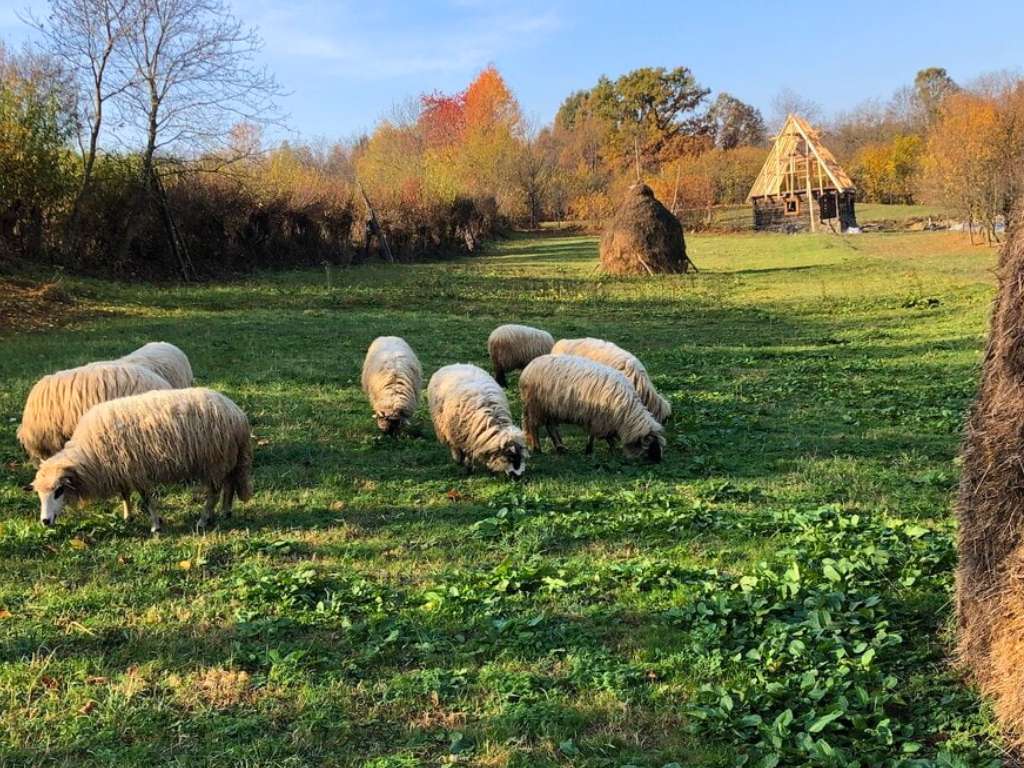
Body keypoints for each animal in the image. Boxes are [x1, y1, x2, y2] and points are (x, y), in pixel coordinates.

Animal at [24, 387, 252, 532]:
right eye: (38, 494)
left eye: (59, 491)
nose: (45, 521)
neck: (90, 452)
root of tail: (237, 414)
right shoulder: (121, 469)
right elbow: (125, 494)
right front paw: (128, 516)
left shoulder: (135, 469)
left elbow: (146, 499)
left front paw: (155, 525)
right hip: (228, 458)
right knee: (230, 484)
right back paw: (226, 511)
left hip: (215, 459)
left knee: (214, 491)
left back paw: (204, 520)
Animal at [516, 356, 667, 462]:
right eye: (651, 444)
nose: (658, 461)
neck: (626, 413)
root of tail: (529, 367)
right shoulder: (599, 418)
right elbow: (601, 436)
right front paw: (607, 449)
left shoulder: (598, 418)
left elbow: (595, 434)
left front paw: (592, 449)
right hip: (535, 406)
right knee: (533, 427)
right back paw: (537, 448)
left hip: (550, 409)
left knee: (550, 427)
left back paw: (560, 447)